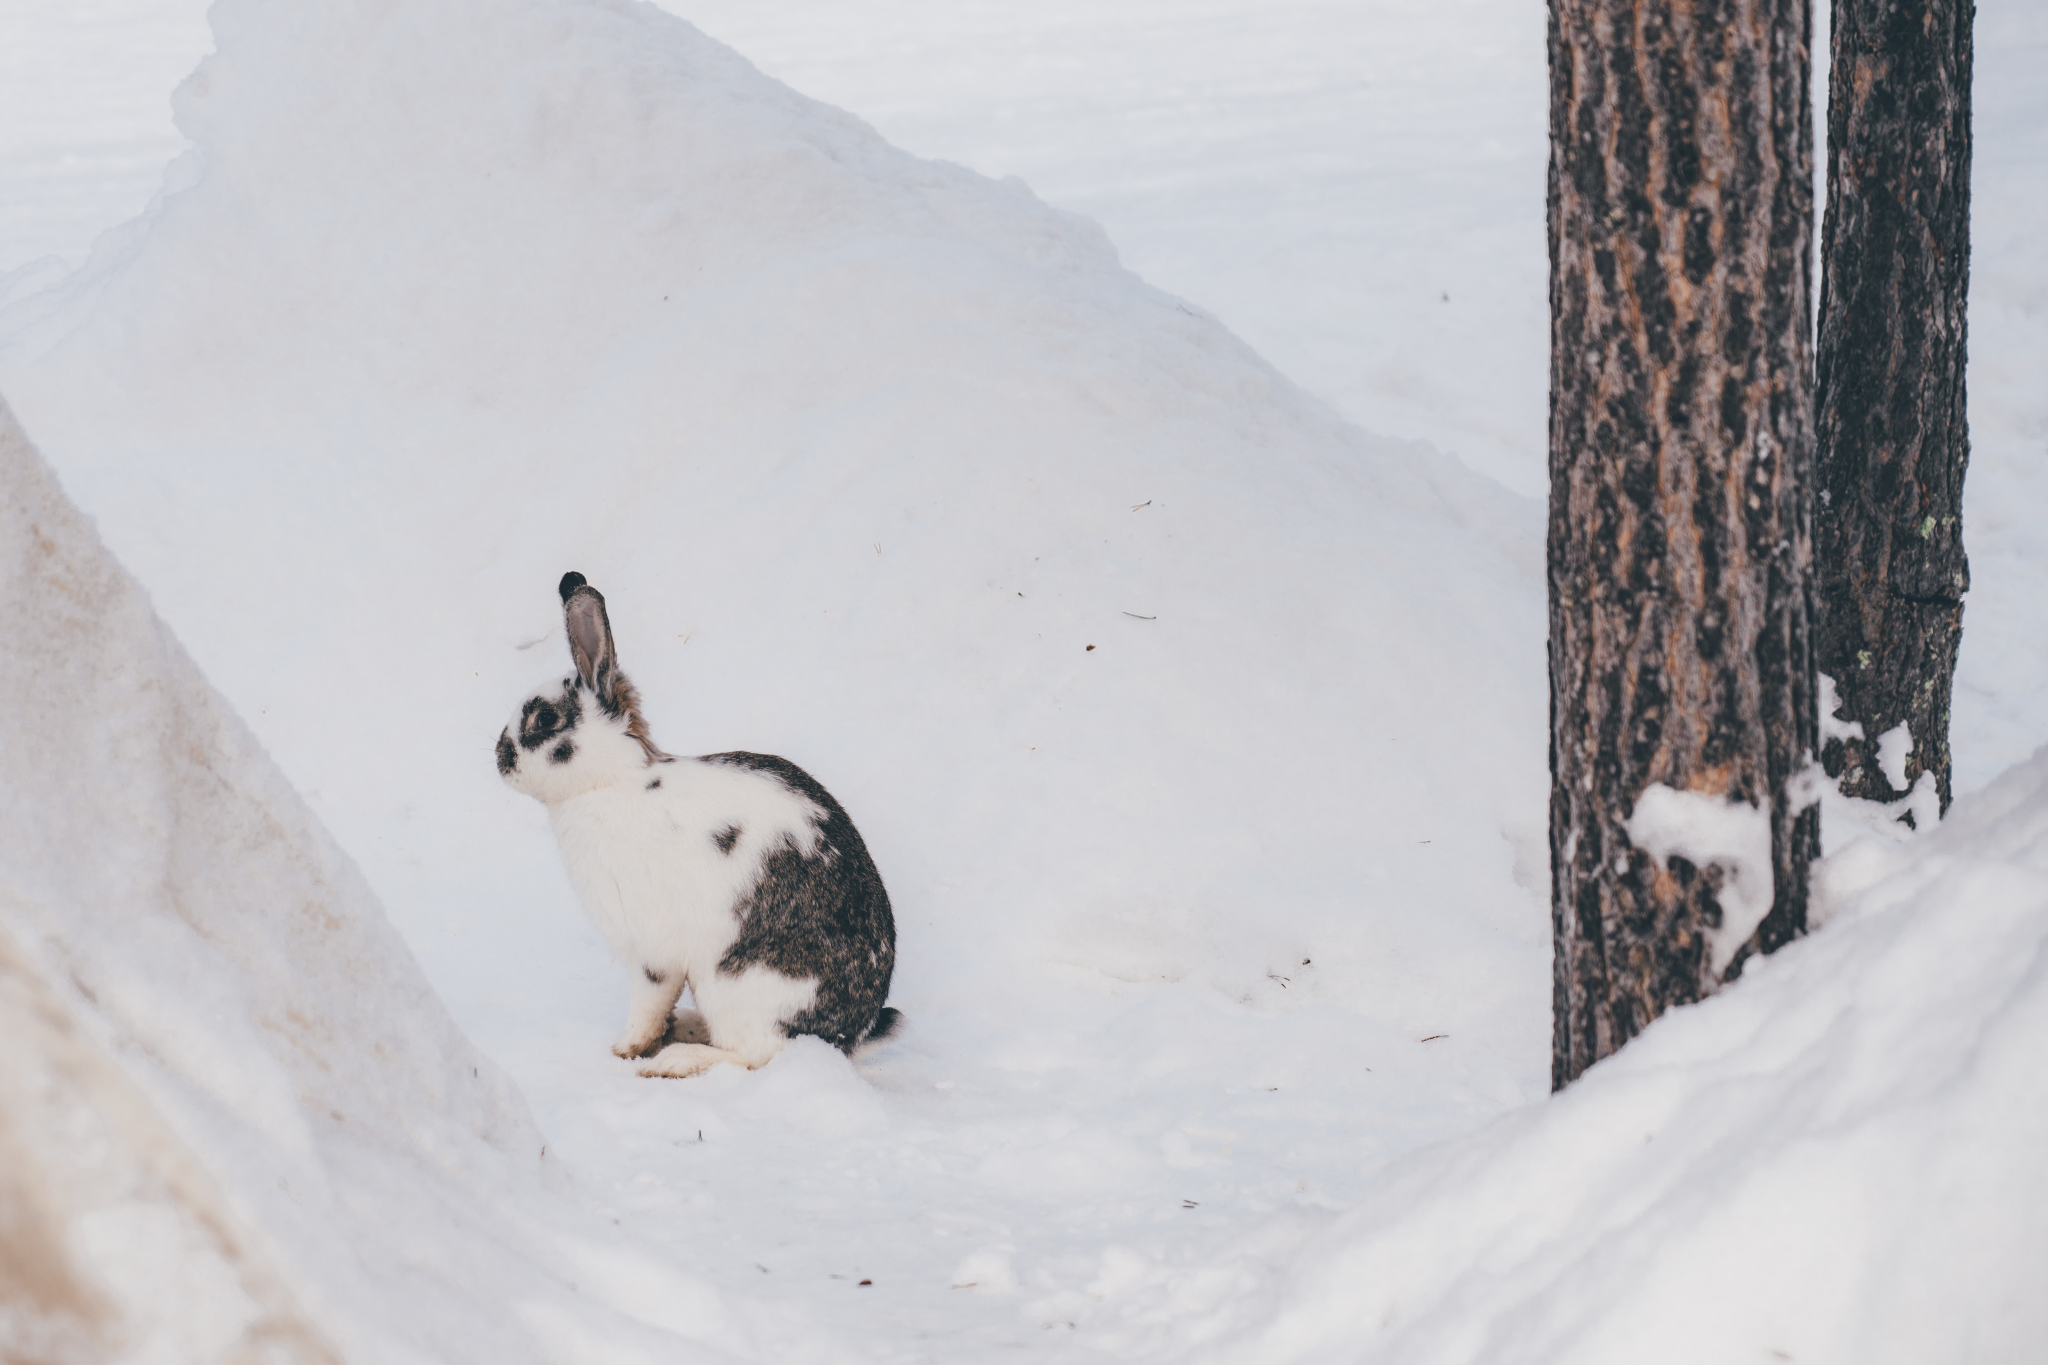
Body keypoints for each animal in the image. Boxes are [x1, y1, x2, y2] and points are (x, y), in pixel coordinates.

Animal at [495, 573, 897, 1080]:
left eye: (545, 718)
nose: (500, 758)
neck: (612, 781)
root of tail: (847, 1038)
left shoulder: (651, 948)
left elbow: (649, 1001)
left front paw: (625, 1051)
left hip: (737, 985)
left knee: (754, 1054)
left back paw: (676, 1059)